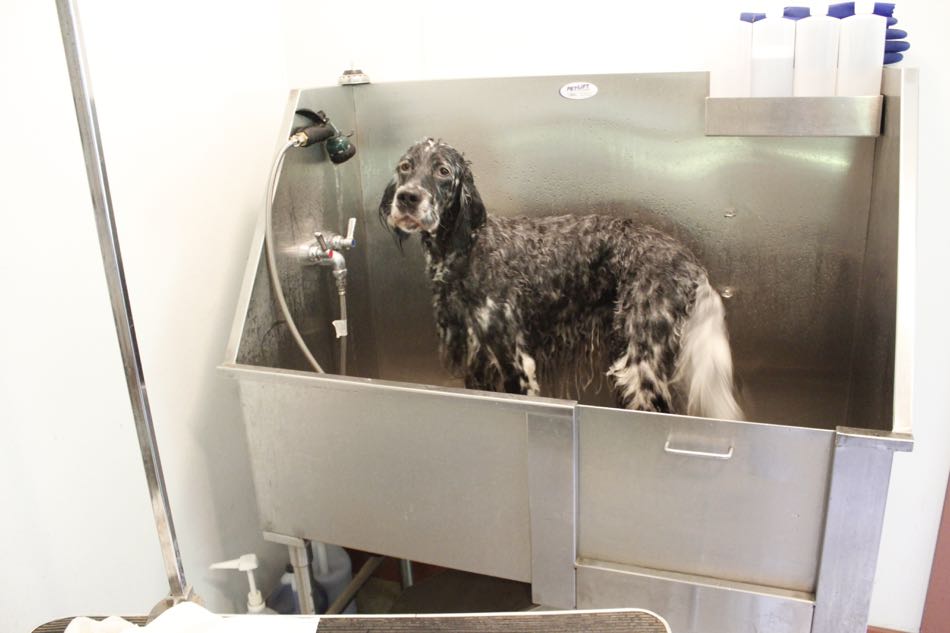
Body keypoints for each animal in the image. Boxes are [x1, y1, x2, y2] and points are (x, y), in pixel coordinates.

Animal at [380, 138, 744, 420]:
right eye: (405, 167)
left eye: (442, 171)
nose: (407, 197)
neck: (465, 253)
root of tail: (689, 259)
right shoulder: (475, 364)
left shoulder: (514, 362)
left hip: (642, 367)